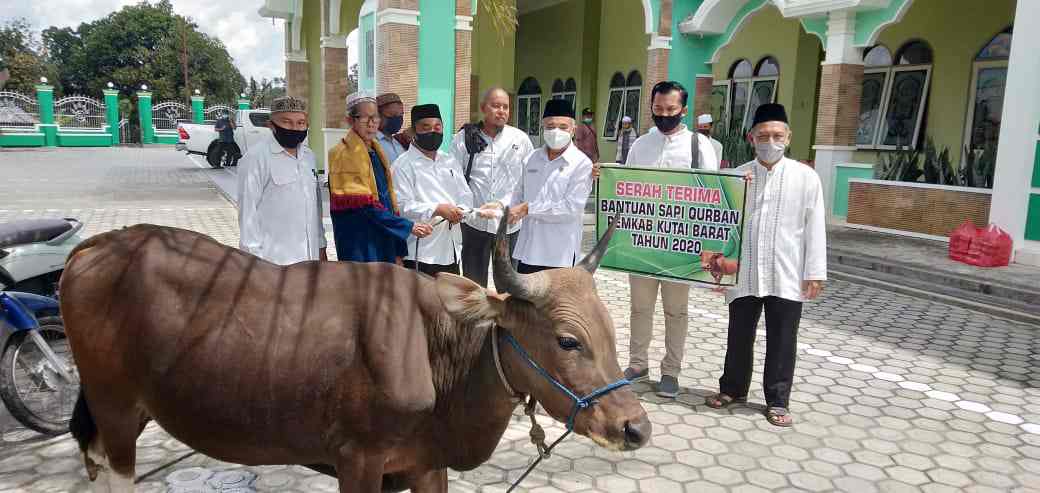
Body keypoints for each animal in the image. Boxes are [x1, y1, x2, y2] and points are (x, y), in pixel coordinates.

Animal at [60, 213, 648, 493]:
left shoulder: (424, 465)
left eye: (609, 332)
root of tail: (98, 245)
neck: (434, 349)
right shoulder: (358, 462)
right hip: (116, 412)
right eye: (568, 340)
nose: (635, 427)